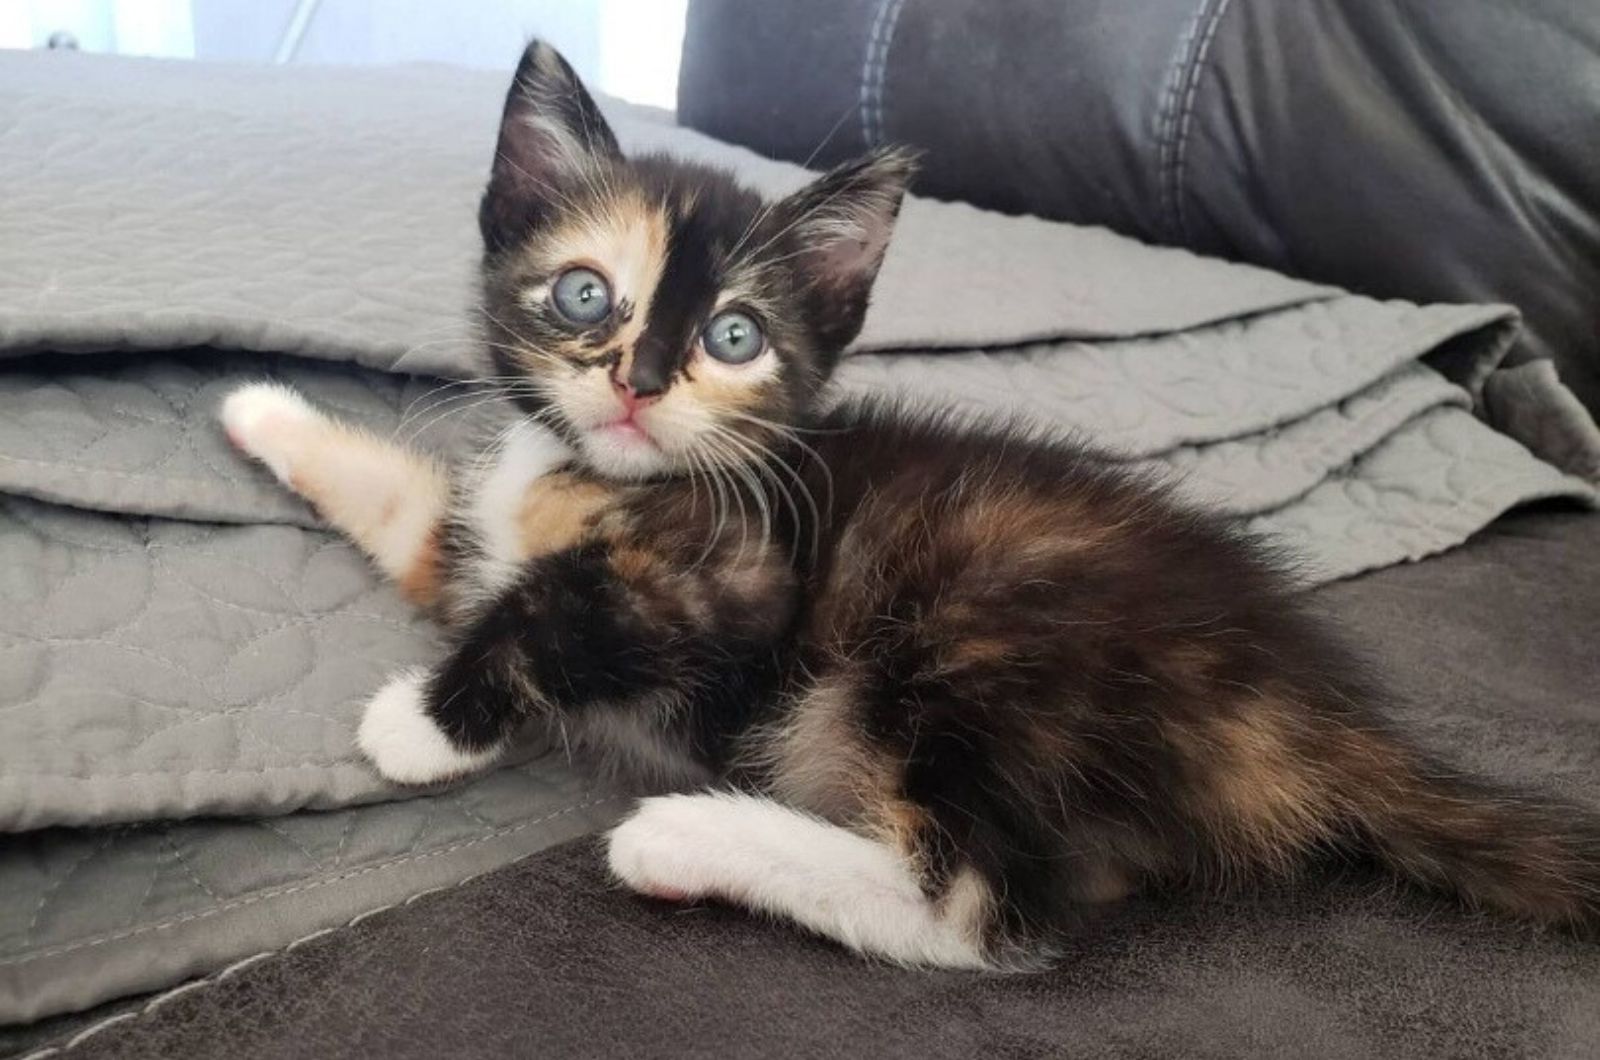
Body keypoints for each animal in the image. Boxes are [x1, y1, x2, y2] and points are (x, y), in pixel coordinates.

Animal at [225, 41, 1600, 973]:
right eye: (582, 294)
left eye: (734, 336)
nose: (639, 380)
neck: (605, 474)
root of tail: (1305, 712)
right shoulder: (479, 533)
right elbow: (418, 511)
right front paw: (263, 413)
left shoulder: (733, 579)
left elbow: (553, 613)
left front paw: (421, 720)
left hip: (974, 644)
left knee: (984, 911)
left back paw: (685, 836)